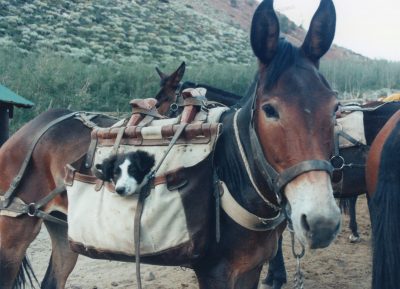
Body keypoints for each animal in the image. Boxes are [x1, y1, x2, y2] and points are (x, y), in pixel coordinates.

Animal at [1, 1, 342, 286]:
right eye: (269, 110)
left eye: (334, 107)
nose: (322, 223)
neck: (231, 175)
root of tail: (31, 127)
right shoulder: (215, 272)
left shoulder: (250, 268)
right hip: (13, 231)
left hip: (64, 230)